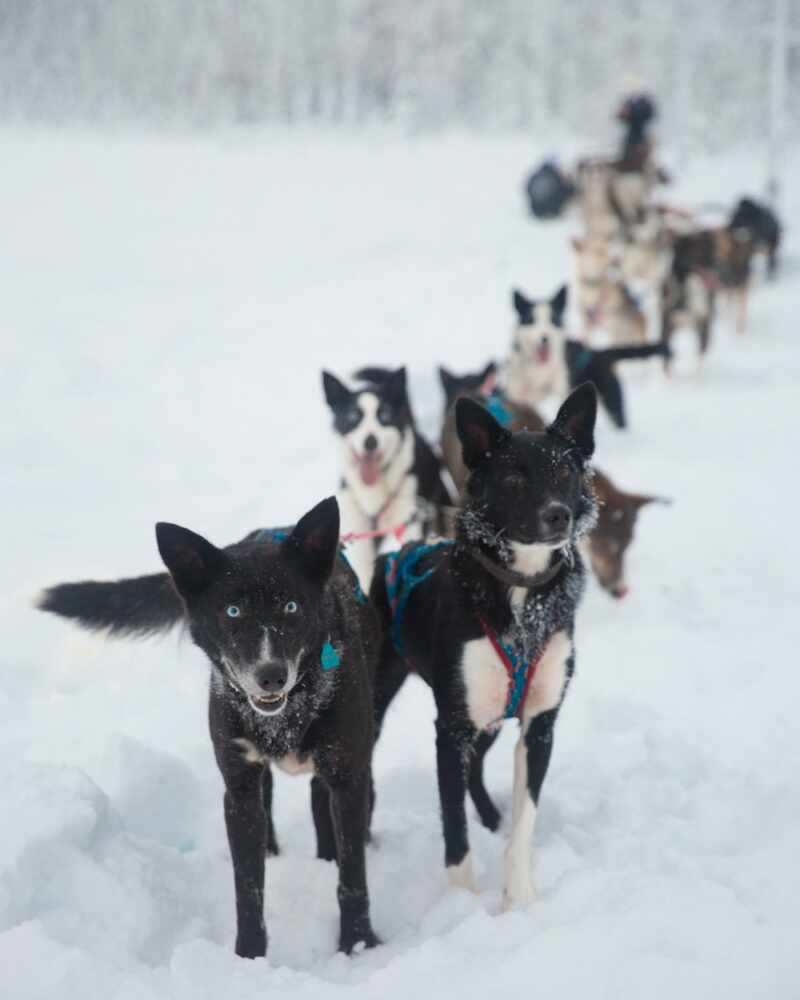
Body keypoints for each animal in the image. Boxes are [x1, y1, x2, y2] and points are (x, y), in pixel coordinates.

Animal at [39, 500, 382, 960]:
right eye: (233, 612)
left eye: (291, 607)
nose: (270, 676)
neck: (287, 712)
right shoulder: (238, 787)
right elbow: (248, 886)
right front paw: (249, 955)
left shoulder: (347, 777)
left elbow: (353, 878)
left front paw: (358, 944)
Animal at [372, 382, 596, 908]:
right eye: (513, 478)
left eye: (565, 471)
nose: (557, 515)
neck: (520, 595)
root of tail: (392, 555)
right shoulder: (450, 728)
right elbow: (454, 829)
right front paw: (460, 904)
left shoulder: (539, 725)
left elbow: (525, 818)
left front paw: (519, 898)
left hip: (490, 717)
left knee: (476, 771)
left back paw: (492, 819)